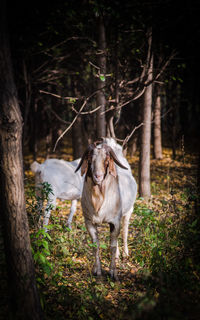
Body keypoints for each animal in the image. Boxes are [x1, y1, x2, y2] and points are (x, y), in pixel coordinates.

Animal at [75, 139, 138, 278]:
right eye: (90, 159)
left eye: (106, 159)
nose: (97, 176)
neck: (100, 201)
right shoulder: (89, 222)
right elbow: (95, 244)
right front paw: (97, 270)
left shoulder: (114, 221)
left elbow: (112, 245)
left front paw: (113, 272)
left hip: (128, 212)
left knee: (125, 232)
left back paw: (125, 254)